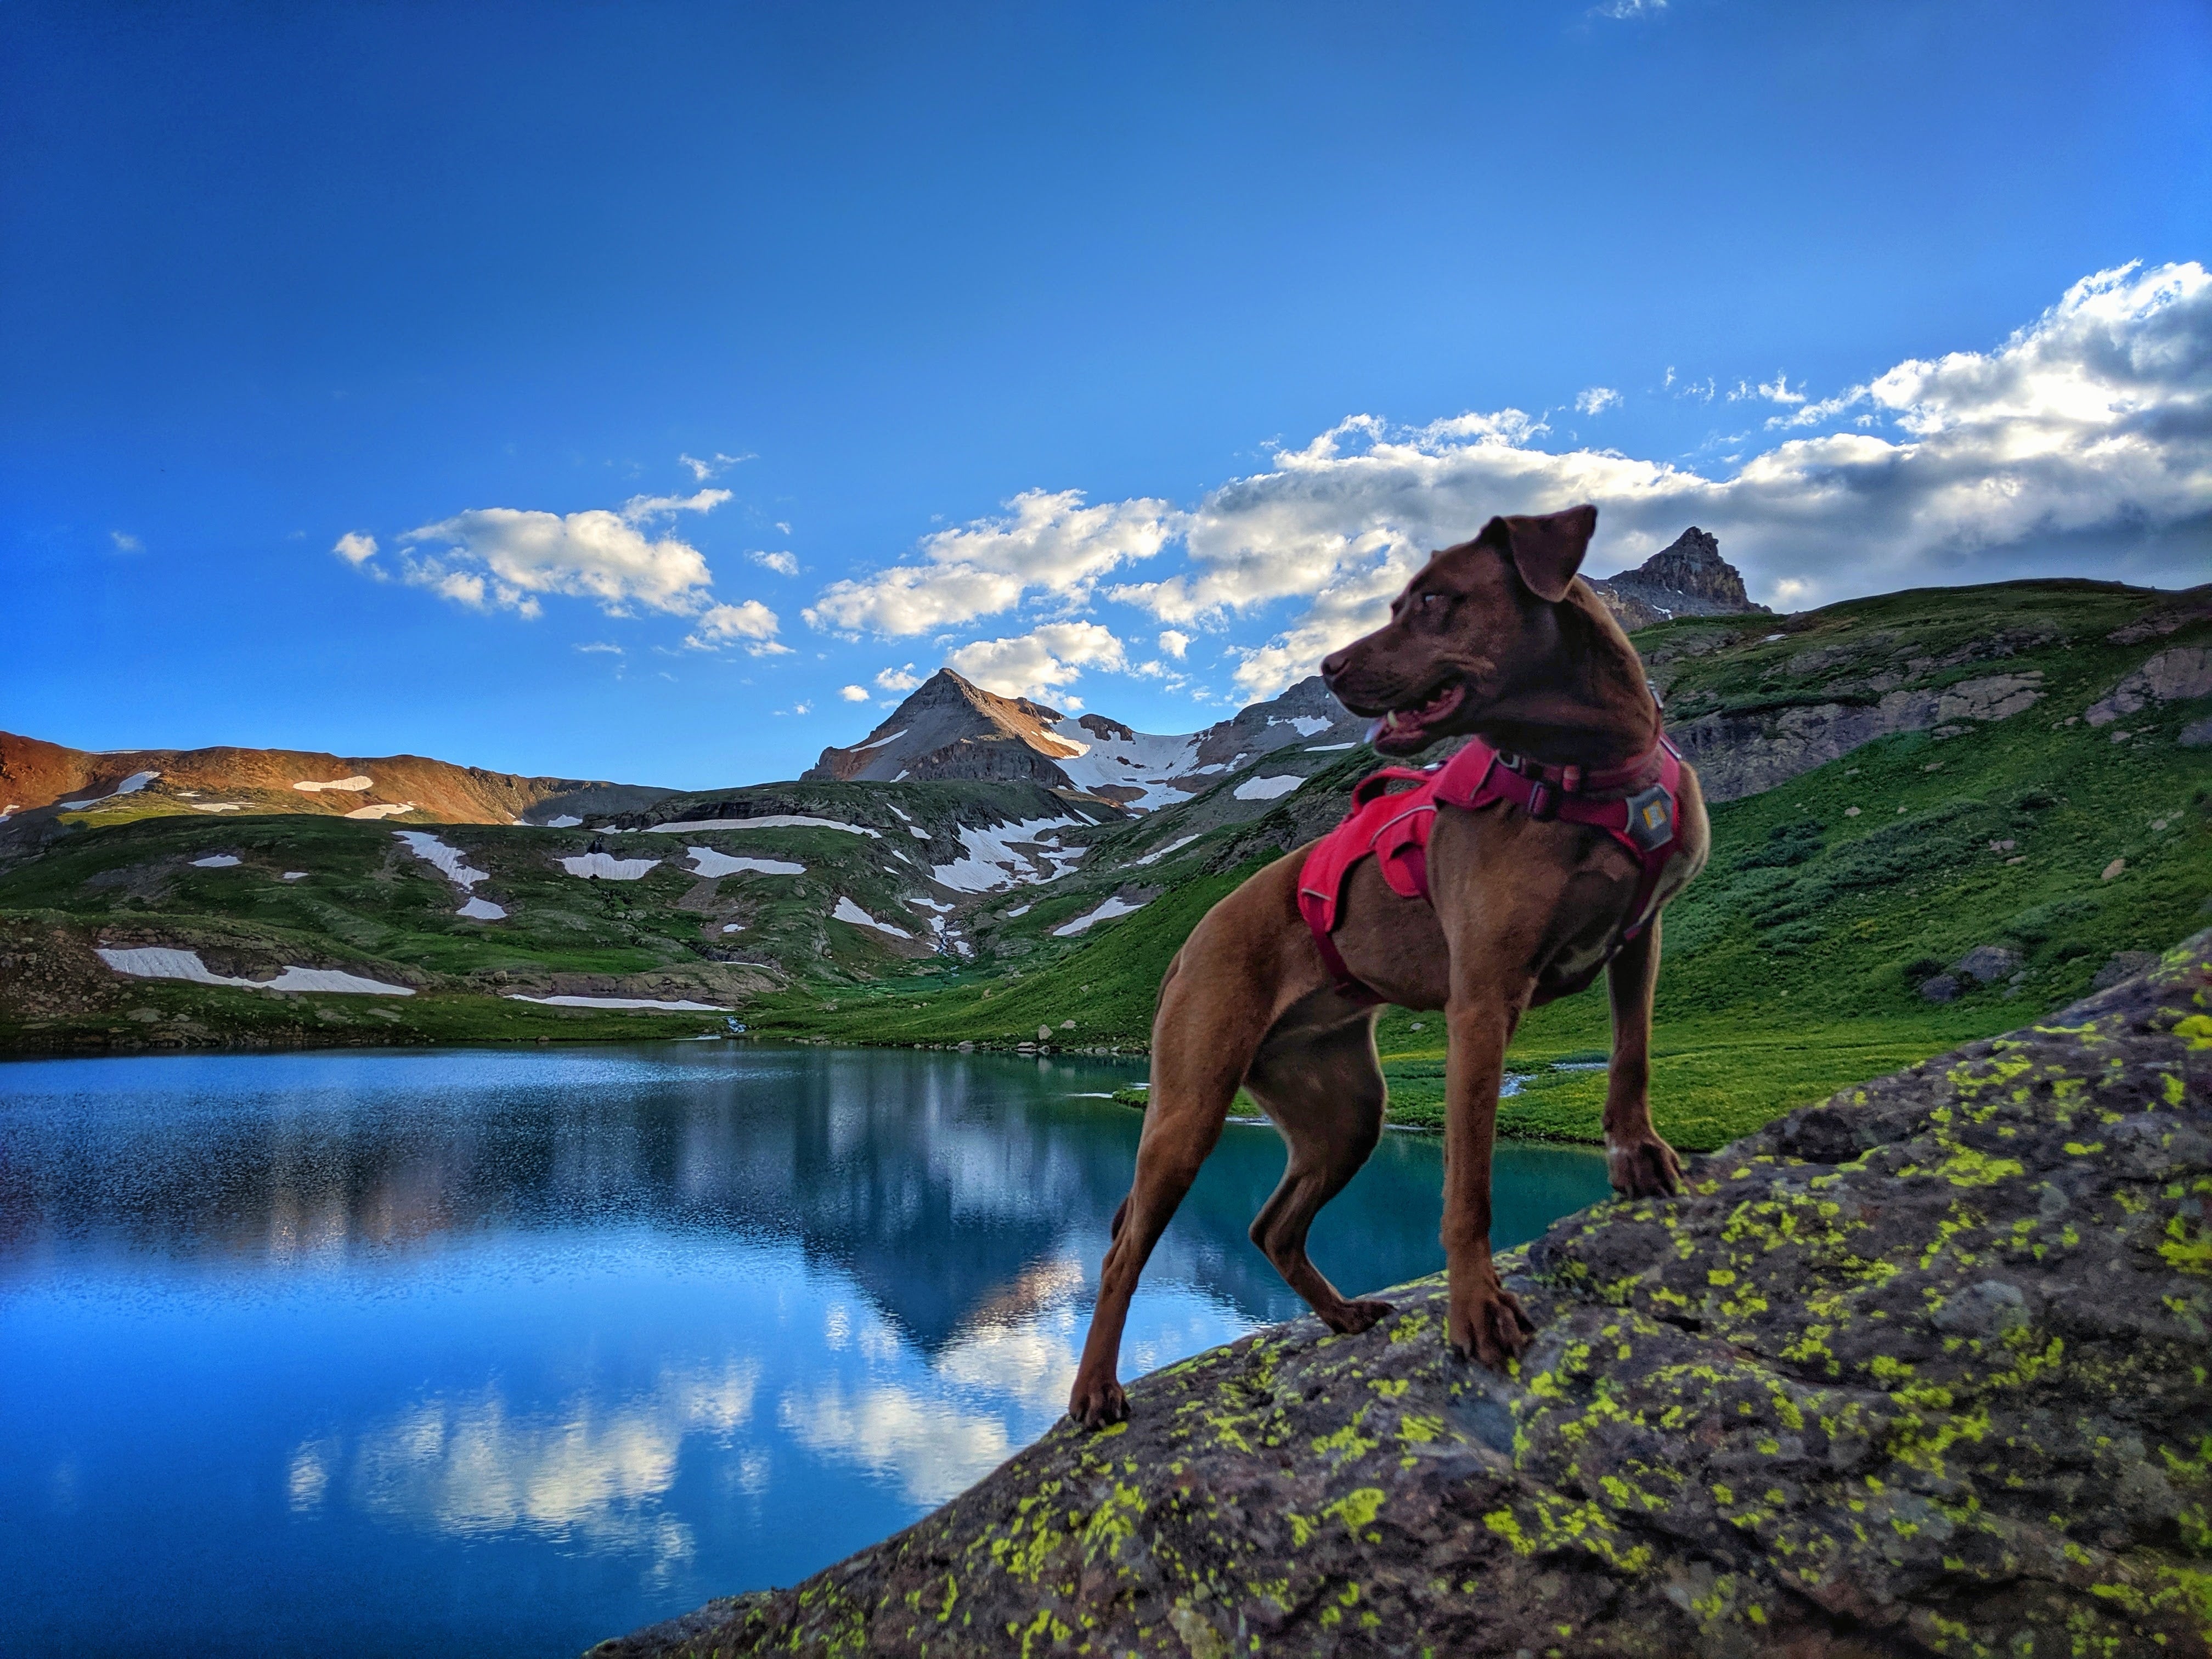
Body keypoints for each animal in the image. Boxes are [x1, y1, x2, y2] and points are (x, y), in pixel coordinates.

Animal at [1070, 504, 1707, 1433]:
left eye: (1436, 600)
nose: (1328, 668)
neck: (1582, 768)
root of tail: (1191, 938)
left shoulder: (1641, 938)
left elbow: (1634, 1055)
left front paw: (1640, 1157)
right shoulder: (1482, 1002)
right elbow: (1468, 1188)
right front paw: (1477, 1311)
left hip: (1348, 1113)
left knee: (1272, 1228)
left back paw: (1339, 1315)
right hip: (1189, 1110)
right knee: (1124, 1251)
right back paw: (1095, 1391)